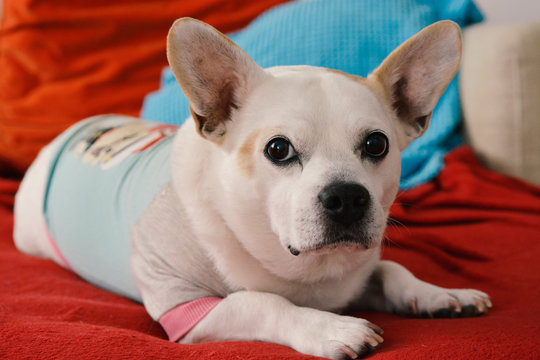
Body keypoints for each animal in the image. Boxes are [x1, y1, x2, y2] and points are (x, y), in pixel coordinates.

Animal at [14, 18, 492, 358]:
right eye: (278, 150)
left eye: (377, 144)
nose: (347, 197)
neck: (305, 269)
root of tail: (79, 129)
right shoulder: (188, 308)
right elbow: (262, 303)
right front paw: (330, 327)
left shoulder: (357, 274)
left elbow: (393, 270)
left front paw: (438, 293)